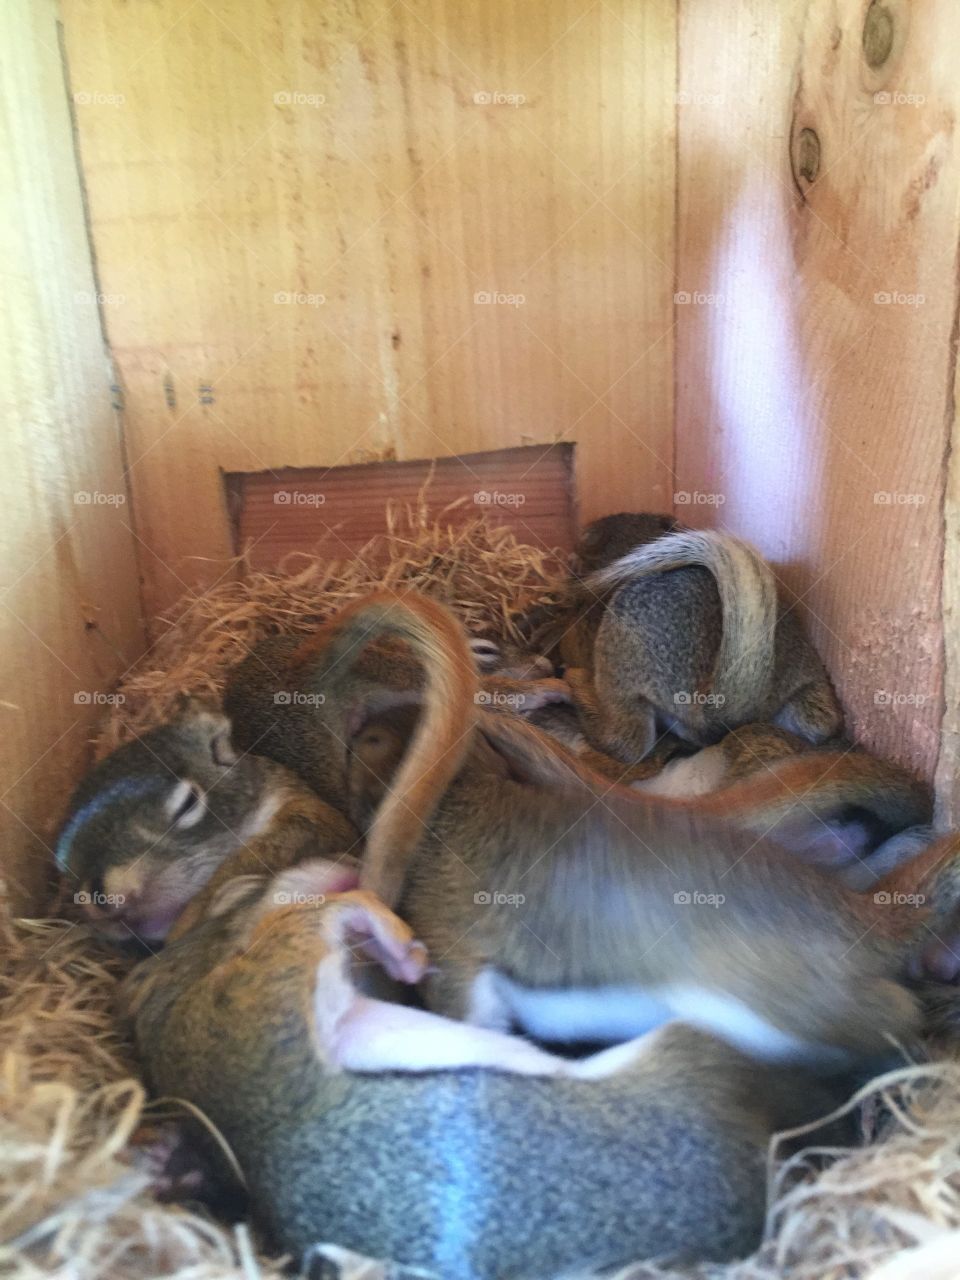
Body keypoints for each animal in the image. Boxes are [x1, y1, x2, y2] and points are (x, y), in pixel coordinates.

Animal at [124, 859, 851, 1279]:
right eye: (239, 888)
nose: (339, 858)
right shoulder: (256, 1005)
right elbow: (322, 925)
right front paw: (388, 934)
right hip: (689, 1053)